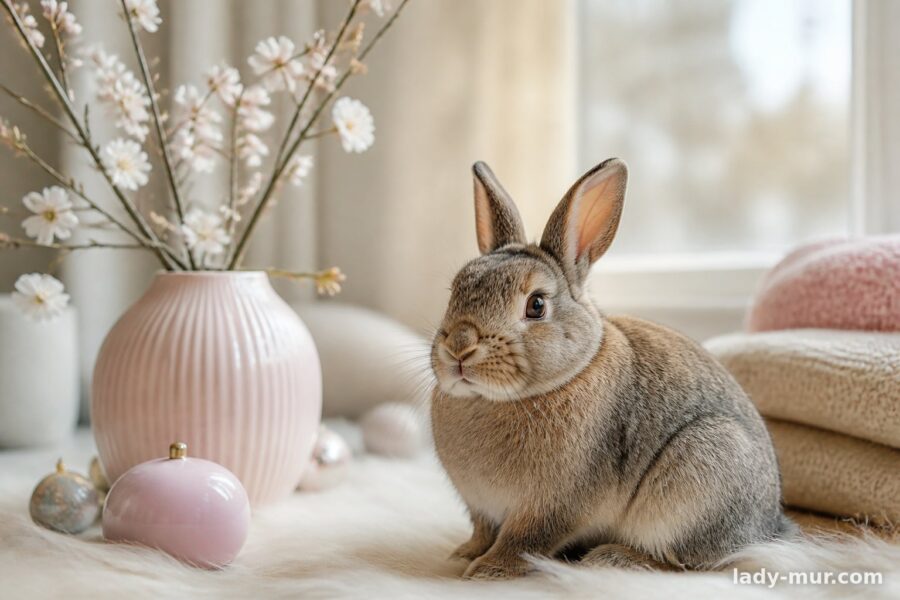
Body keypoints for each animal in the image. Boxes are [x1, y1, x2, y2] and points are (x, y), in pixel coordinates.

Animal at [430, 158, 795, 580]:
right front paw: (462, 554)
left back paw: (611, 558)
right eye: (454, 291)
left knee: (685, 562)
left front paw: (489, 570)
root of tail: (766, 528)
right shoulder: (482, 509)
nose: (459, 347)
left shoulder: (553, 506)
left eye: (536, 305)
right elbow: (483, 531)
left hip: (700, 477)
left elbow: (523, 541)